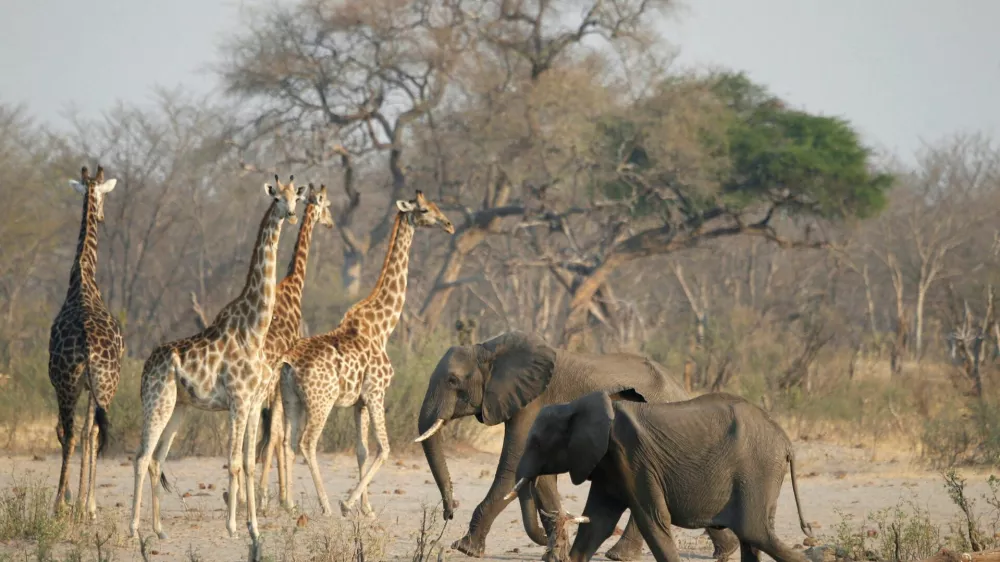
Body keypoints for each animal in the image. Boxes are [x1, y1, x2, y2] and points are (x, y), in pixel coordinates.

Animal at [128, 174, 305, 541]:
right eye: (277, 198)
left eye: (296, 197)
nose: (292, 214)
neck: (254, 329)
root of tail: (146, 366)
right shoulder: (237, 401)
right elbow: (234, 462)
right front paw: (233, 526)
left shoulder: (252, 403)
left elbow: (249, 462)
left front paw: (254, 527)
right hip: (156, 401)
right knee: (140, 456)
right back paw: (134, 529)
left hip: (178, 408)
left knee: (156, 459)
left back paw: (160, 530)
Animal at [276, 190, 453, 516]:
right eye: (424, 209)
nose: (448, 225)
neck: (383, 327)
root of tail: (289, 363)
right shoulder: (376, 392)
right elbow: (384, 448)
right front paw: (348, 504)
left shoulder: (358, 401)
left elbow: (362, 449)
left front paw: (367, 509)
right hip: (321, 402)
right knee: (308, 443)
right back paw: (325, 505)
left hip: (291, 399)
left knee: (288, 442)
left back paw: (291, 505)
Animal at [414, 330, 739, 560]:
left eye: (453, 381)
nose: (449, 512)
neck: (488, 349)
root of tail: (681, 389)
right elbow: (540, 476)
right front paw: (554, 553)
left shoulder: (532, 401)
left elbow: (511, 466)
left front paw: (464, 548)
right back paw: (728, 550)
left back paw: (618, 555)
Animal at [510, 390, 813, 562]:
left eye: (537, 442)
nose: (548, 541)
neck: (575, 406)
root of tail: (787, 443)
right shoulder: (609, 464)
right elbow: (597, 522)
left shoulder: (633, 457)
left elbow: (653, 520)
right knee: (753, 538)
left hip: (758, 470)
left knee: (754, 532)